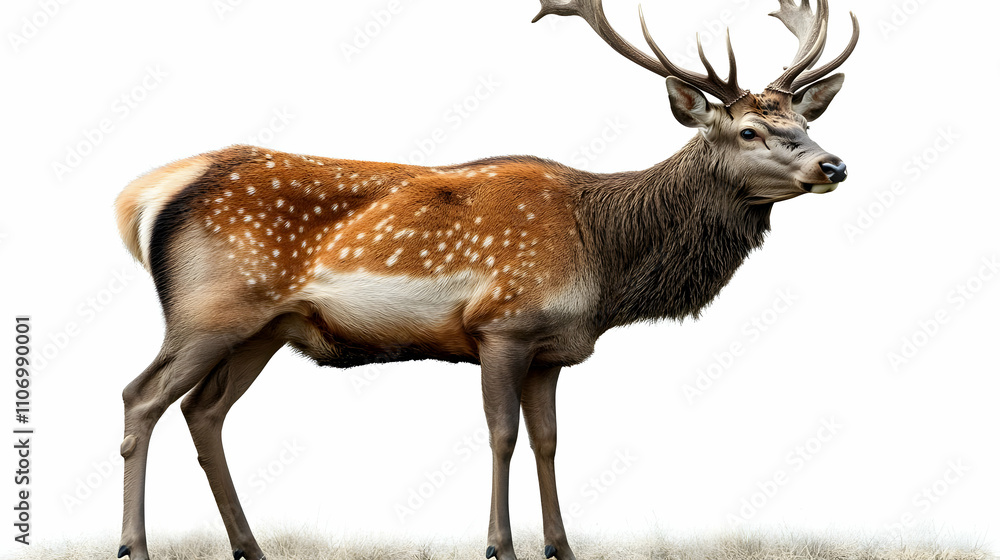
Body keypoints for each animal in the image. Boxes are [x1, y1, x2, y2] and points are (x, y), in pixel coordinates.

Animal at [113, 1, 858, 559]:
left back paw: (250, 546)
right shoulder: (500, 325)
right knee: (140, 397)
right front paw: (500, 545)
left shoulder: (553, 349)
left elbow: (549, 440)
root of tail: (146, 194)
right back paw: (135, 545)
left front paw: (561, 546)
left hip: (262, 330)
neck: (602, 263)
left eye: (805, 119)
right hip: (208, 310)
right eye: (750, 131)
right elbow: (501, 434)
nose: (833, 165)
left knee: (203, 412)